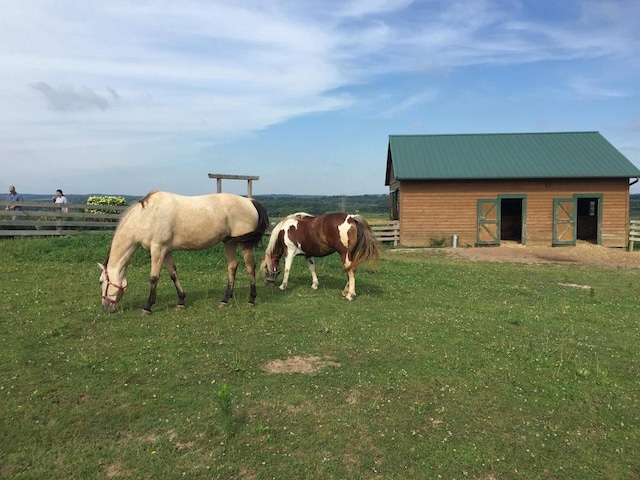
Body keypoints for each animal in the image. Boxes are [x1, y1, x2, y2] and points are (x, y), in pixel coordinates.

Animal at [99, 191, 268, 316]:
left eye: (101, 281)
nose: (105, 307)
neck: (146, 217)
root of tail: (249, 201)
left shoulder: (157, 249)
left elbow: (154, 278)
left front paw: (147, 307)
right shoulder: (166, 251)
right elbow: (173, 274)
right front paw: (181, 302)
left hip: (244, 244)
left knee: (250, 267)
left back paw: (251, 300)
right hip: (229, 242)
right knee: (232, 266)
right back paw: (225, 300)